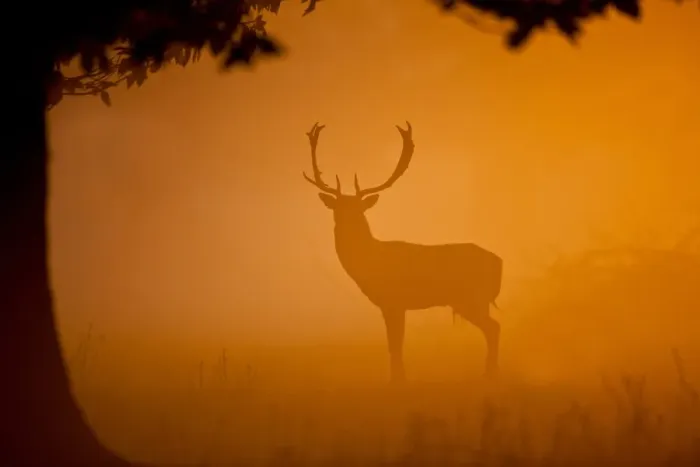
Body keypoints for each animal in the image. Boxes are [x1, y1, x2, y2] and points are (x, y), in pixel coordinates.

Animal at [302, 122, 503, 382]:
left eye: (358, 209)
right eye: (338, 208)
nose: (346, 223)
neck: (372, 261)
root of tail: (499, 263)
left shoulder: (394, 301)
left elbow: (395, 344)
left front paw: (398, 380)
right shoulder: (391, 305)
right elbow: (394, 343)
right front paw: (399, 377)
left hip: (471, 298)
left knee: (494, 328)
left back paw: (489, 373)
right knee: (493, 327)